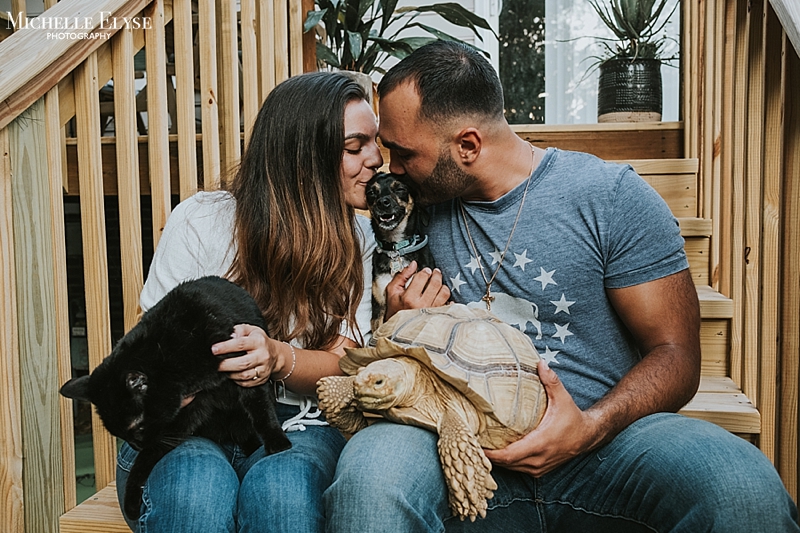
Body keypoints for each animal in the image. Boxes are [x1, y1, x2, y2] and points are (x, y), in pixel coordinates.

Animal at [60, 276, 290, 516]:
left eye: (138, 428)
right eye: (121, 434)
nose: (135, 446)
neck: (170, 351)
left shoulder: (246, 372)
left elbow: (261, 410)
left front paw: (277, 442)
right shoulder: (190, 409)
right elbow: (149, 455)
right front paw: (131, 498)